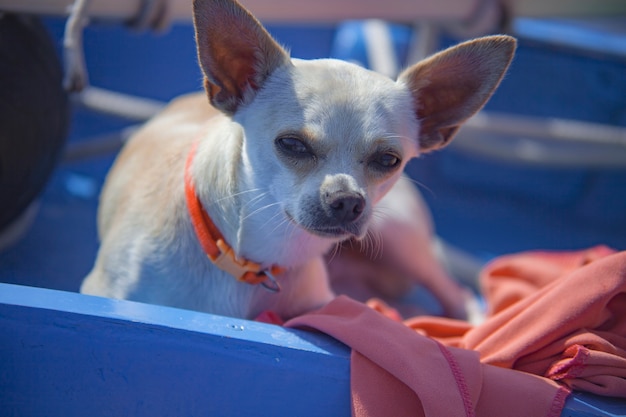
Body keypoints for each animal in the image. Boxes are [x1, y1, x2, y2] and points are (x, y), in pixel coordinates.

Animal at [81, 0, 512, 320]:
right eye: (292, 144)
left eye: (389, 159)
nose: (347, 200)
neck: (260, 258)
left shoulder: (322, 304)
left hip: (398, 235)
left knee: (457, 295)